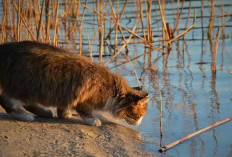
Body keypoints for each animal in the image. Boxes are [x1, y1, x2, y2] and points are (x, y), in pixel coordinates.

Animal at [0, 40, 149, 126]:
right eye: (139, 115)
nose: (139, 123)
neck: (111, 89)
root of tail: (4, 48)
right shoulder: (84, 98)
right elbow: (85, 112)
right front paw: (93, 120)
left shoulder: (67, 94)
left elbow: (63, 109)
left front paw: (65, 114)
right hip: (24, 86)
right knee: (8, 103)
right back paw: (25, 115)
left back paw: (44, 111)